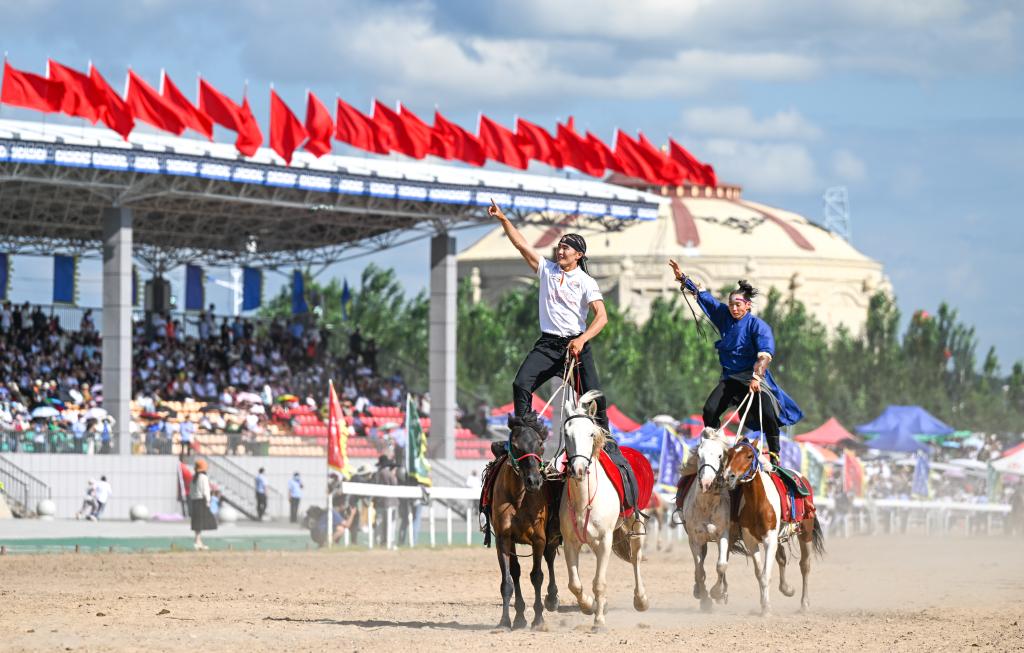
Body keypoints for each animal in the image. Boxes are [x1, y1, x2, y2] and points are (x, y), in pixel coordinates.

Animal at [487, 411, 561, 630]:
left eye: (540, 444)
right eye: (516, 445)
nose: (534, 481)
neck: (519, 497)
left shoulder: (539, 538)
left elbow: (537, 576)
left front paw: (538, 619)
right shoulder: (503, 539)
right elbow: (509, 579)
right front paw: (506, 621)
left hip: (551, 536)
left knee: (550, 558)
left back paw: (552, 598)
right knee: (517, 571)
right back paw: (520, 616)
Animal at [561, 390, 647, 630]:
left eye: (591, 434)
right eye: (567, 434)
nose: (579, 469)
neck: (584, 501)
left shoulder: (603, 542)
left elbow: (599, 582)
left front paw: (599, 620)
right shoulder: (570, 543)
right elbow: (575, 584)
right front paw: (589, 606)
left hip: (635, 526)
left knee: (636, 558)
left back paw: (641, 599)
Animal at [684, 427, 733, 610]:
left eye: (720, 456)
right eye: (699, 454)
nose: (706, 482)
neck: (707, 505)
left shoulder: (723, 535)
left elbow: (721, 565)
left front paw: (716, 593)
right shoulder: (695, 538)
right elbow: (699, 571)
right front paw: (705, 599)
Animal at [720, 438, 823, 618]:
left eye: (749, 456)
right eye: (730, 454)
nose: (728, 476)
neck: (757, 502)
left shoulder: (769, 539)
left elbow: (765, 574)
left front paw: (766, 608)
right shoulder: (751, 541)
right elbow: (759, 573)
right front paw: (764, 604)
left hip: (806, 532)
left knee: (805, 565)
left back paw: (804, 604)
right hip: (779, 538)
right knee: (782, 558)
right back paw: (787, 589)